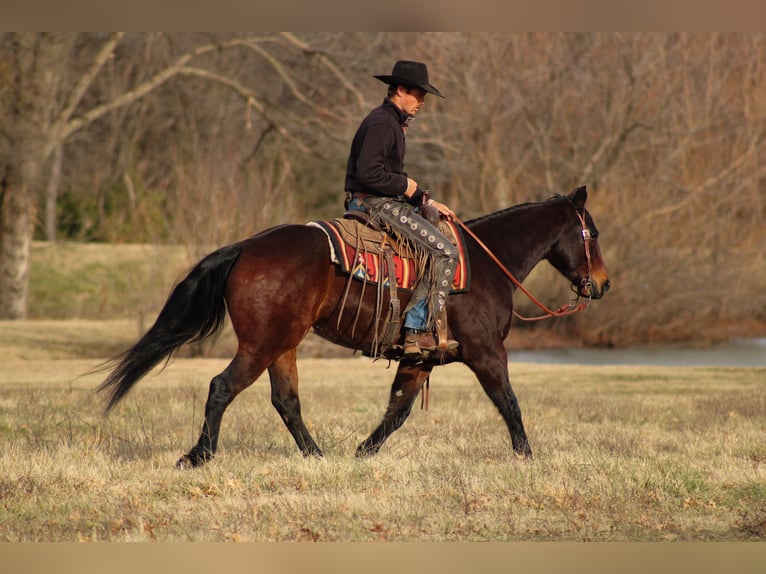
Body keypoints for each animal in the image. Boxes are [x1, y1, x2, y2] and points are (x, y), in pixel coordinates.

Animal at [97, 186, 610, 468]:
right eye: (594, 232)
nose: (602, 284)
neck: (487, 264)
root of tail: (245, 247)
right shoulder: (486, 353)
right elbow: (510, 403)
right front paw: (526, 457)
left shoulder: (422, 359)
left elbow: (397, 412)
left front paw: (363, 453)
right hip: (261, 344)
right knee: (222, 387)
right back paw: (198, 456)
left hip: (283, 345)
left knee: (286, 400)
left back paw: (317, 456)